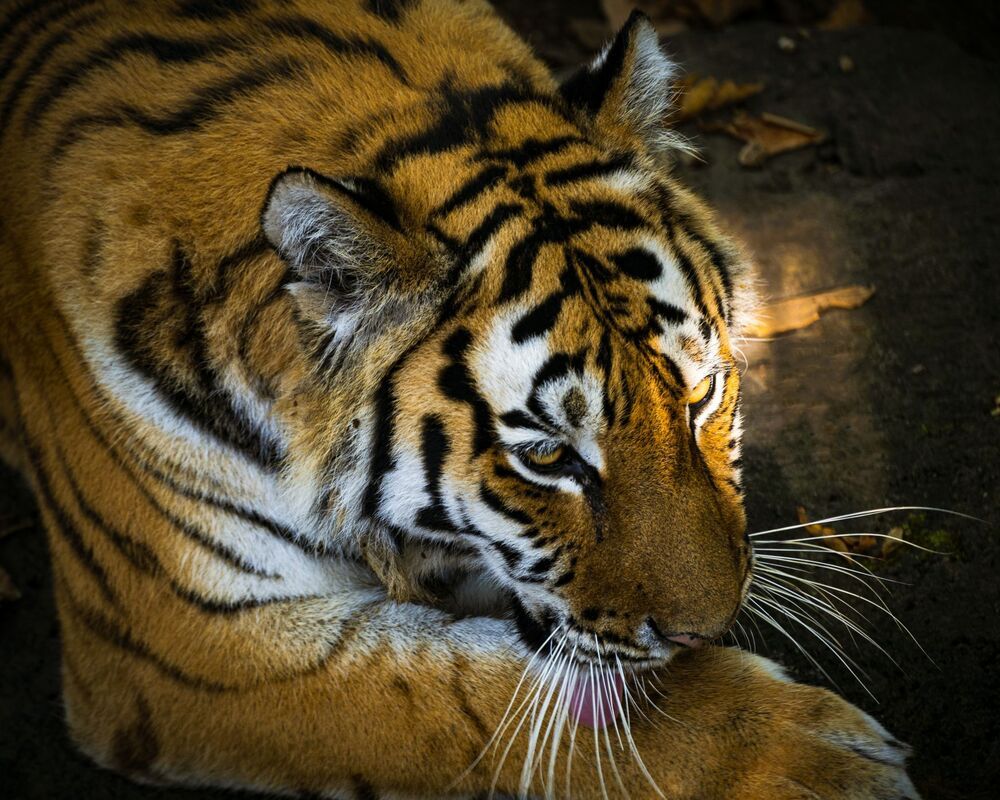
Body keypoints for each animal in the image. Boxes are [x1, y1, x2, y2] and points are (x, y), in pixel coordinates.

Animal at [0, 0, 919, 797]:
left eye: (701, 394)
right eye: (546, 455)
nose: (708, 629)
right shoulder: (176, 641)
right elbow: (469, 695)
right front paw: (805, 764)